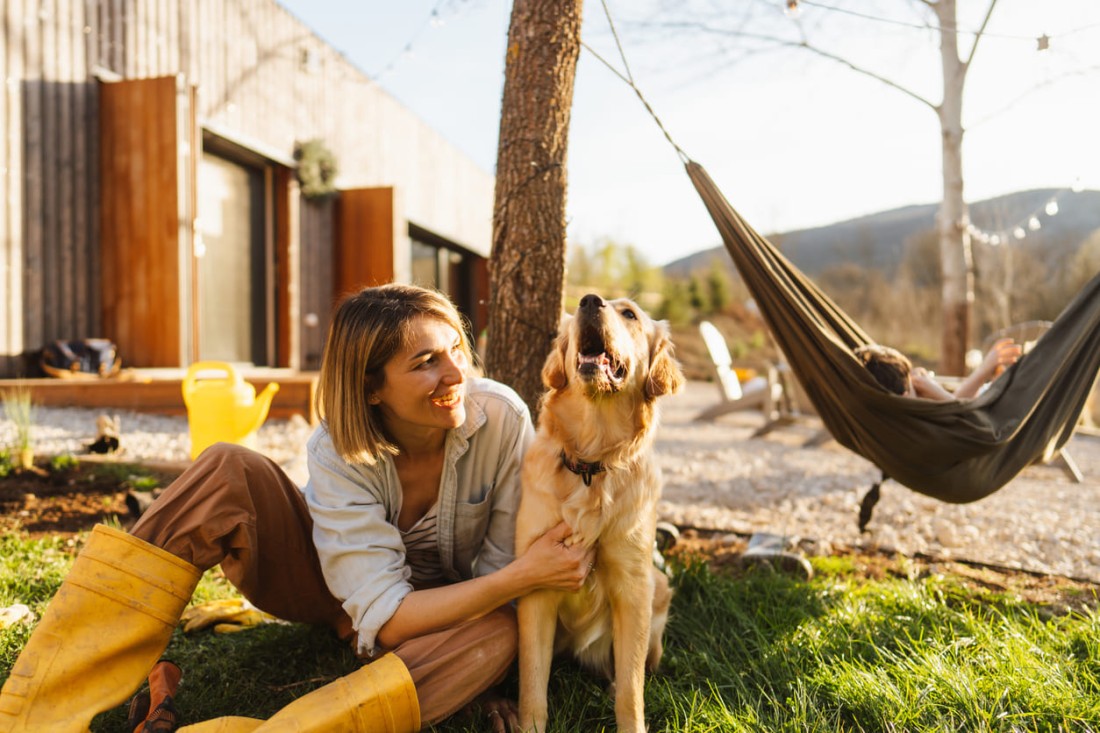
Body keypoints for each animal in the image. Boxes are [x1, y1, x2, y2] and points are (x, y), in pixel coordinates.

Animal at [512, 292, 677, 730]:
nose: (589, 300)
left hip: (659, 587)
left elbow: (632, 690)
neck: (592, 461)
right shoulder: (535, 585)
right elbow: (532, 683)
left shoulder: (634, 586)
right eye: (574, 316)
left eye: (630, 314)